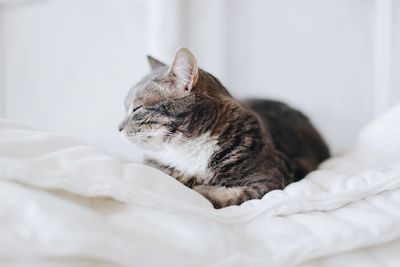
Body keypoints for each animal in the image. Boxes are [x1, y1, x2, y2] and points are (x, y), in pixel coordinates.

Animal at [117, 47, 330, 209]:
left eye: (136, 109)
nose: (118, 128)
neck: (189, 149)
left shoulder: (272, 176)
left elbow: (232, 195)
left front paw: (199, 188)